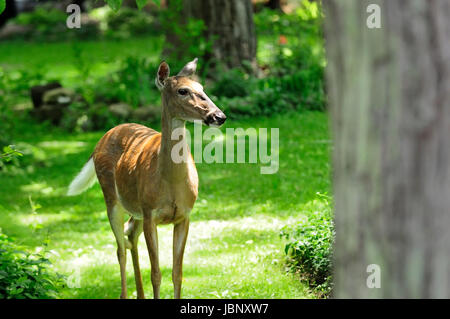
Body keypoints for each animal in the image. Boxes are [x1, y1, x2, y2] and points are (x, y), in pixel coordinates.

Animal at [66, 58, 229, 300]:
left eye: (202, 88)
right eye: (183, 91)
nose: (219, 116)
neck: (171, 182)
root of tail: (103, 137)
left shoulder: (184, 215)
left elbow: (177, 274)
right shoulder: (151, 213)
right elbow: (156, 274)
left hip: (137, 210)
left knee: (130, 235)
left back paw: (140, 295)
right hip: (112, 198)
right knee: (120, 248)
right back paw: (125, 294)